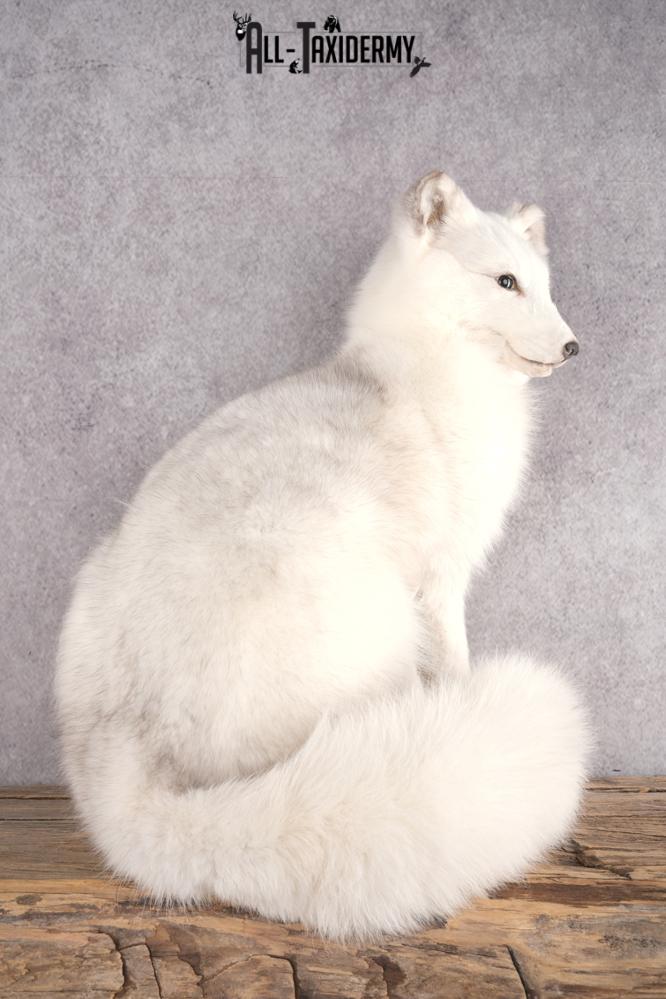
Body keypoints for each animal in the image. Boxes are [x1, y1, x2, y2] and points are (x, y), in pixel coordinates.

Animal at [55, 170, 590, 940]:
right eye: (506, 282)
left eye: (545, 286)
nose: (573, 346)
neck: (422, 376)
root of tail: (133, 762)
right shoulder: (440, 581)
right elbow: (458, 662)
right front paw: (465, 702)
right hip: (376, 610)